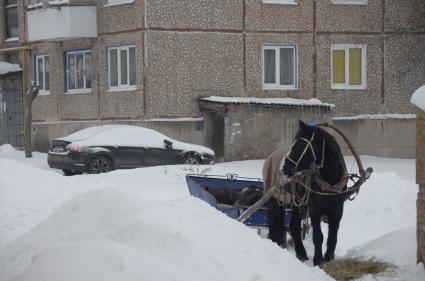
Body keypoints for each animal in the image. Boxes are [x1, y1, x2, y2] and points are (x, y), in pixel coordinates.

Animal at [264, 120, 350, 264]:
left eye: (300, 145)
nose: (285, 168)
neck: (329, 182)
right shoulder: (315, 210)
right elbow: (318, 236)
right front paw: (318, 260)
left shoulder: (337, 211)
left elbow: (333, 236)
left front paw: (328, 258)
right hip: (275, 199)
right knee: (275, 222)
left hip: (298, 204)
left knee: (293, 225)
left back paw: (301, 254)